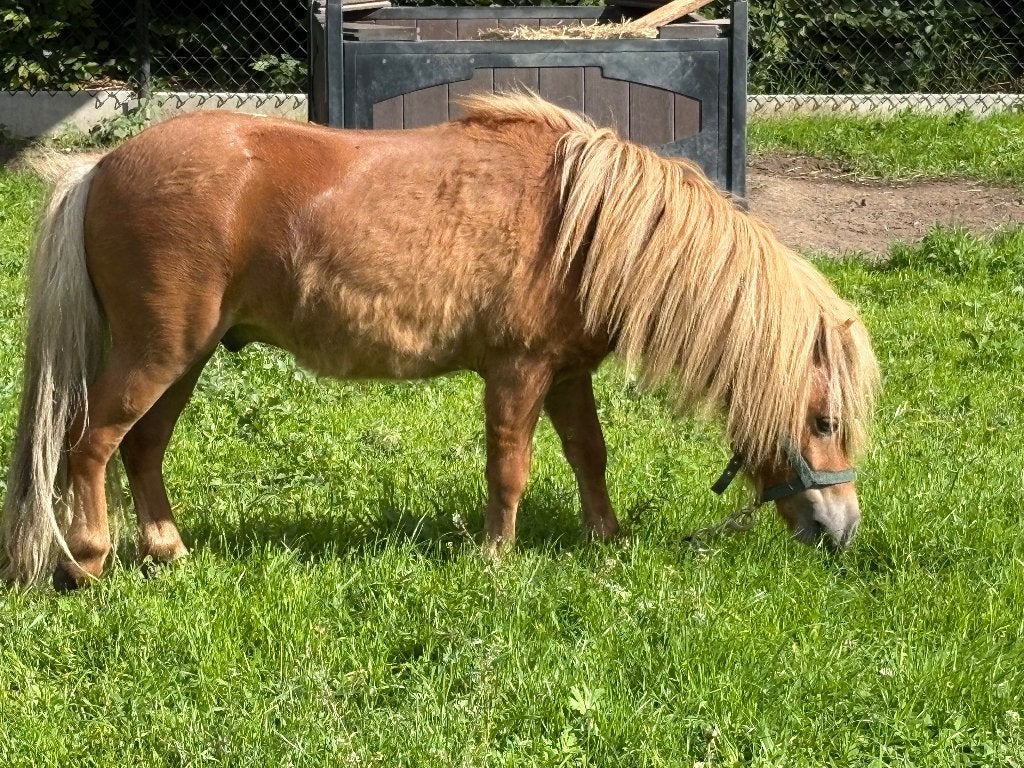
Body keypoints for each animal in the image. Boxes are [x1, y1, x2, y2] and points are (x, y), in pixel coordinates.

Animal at [0, 93, 879, 589]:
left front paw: (605, 538)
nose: (841, 531)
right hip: (158, 353)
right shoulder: (518, 372)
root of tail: (100, 168)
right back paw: (86, 561)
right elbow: (510, 467)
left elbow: (589, 455)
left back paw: (167, 550)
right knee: (89, 445)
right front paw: (496, 558)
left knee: (142, 449)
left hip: (186, 357)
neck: (584, 225)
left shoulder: (567, 375)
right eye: (825, 421)